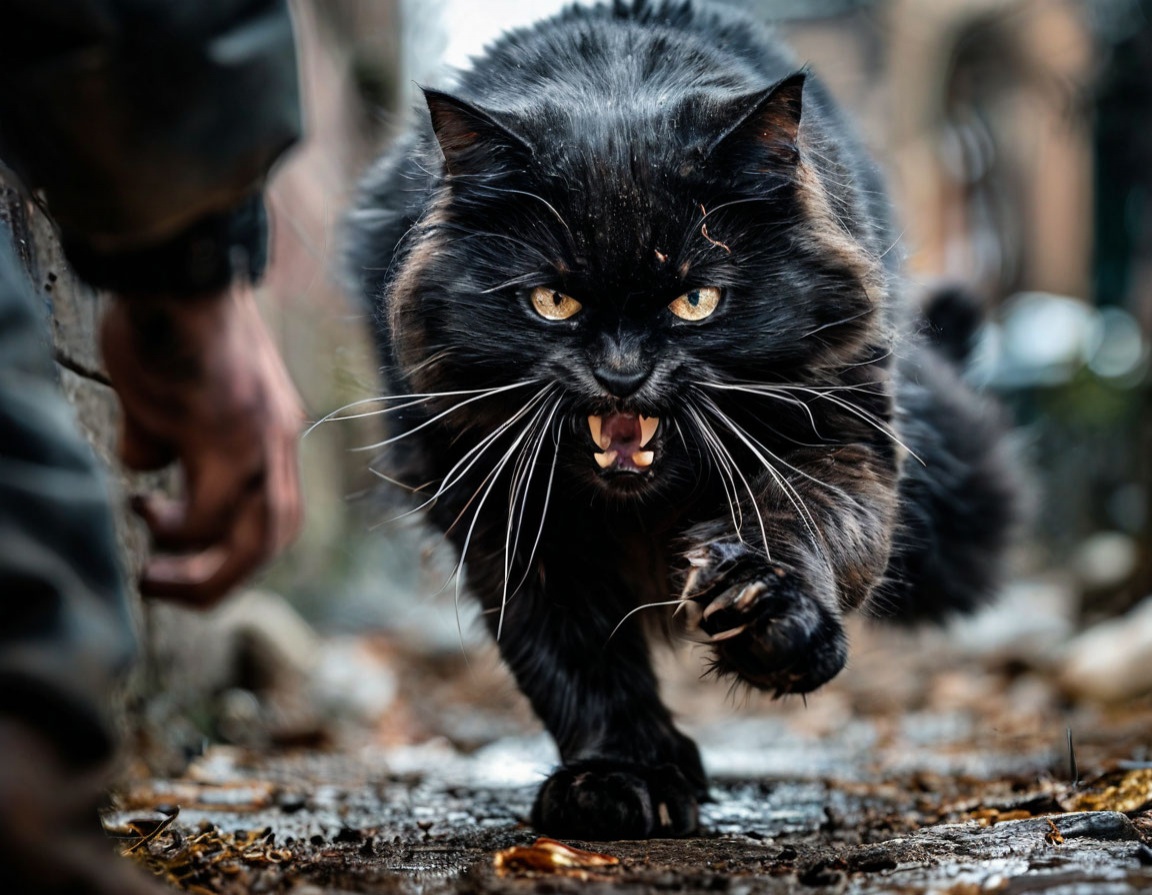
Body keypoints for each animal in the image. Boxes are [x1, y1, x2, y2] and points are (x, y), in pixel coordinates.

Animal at [343, 0, 1018, 838]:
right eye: (552, 300)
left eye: (695, 299)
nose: (623, 372)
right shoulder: (507, 521)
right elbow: (575, 663)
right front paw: (617, 780)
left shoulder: (841, 438)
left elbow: (804, 535)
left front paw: (767, 618)